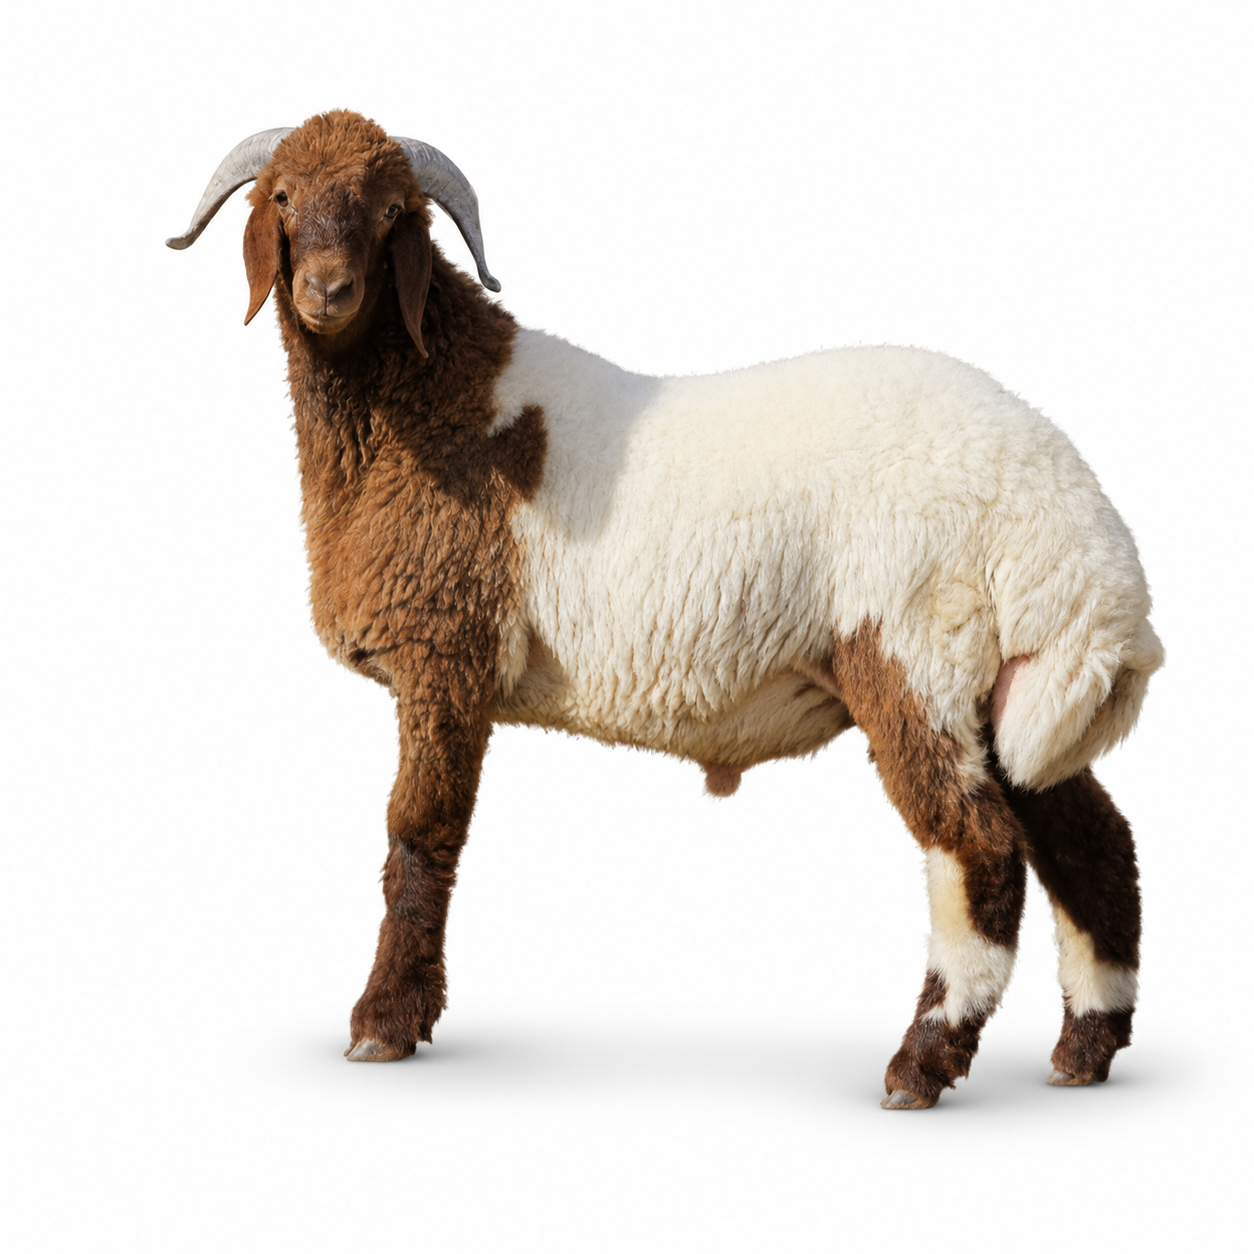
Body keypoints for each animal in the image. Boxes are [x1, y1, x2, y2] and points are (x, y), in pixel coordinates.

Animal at [169, 110, 1162, 1109]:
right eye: (282, 196)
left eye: (390, 212)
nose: (327, 291)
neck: (433, 404)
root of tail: (1069, 520)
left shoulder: (447, 651)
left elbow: (419, 833)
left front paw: (383, 1023)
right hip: (1011, 687)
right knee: (1094, 843)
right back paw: (1084, 1049)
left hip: (915, 651)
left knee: (979, 851)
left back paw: (920, 1064)